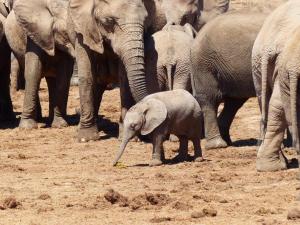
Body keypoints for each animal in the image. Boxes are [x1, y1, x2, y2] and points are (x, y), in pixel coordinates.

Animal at [7, 0, 74, 128]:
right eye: (66, 33)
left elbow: (63, 77)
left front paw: (60, 125)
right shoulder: (34, 33)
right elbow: (34, 73)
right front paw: (27, 127)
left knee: (52, 79)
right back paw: (39, 121)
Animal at [69, 0, 230, 142]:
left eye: (145, 20)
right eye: (108, 21)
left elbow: (124, 78)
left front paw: (130, 137)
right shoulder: (84, 27)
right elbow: (87, 75)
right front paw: (86, 138)